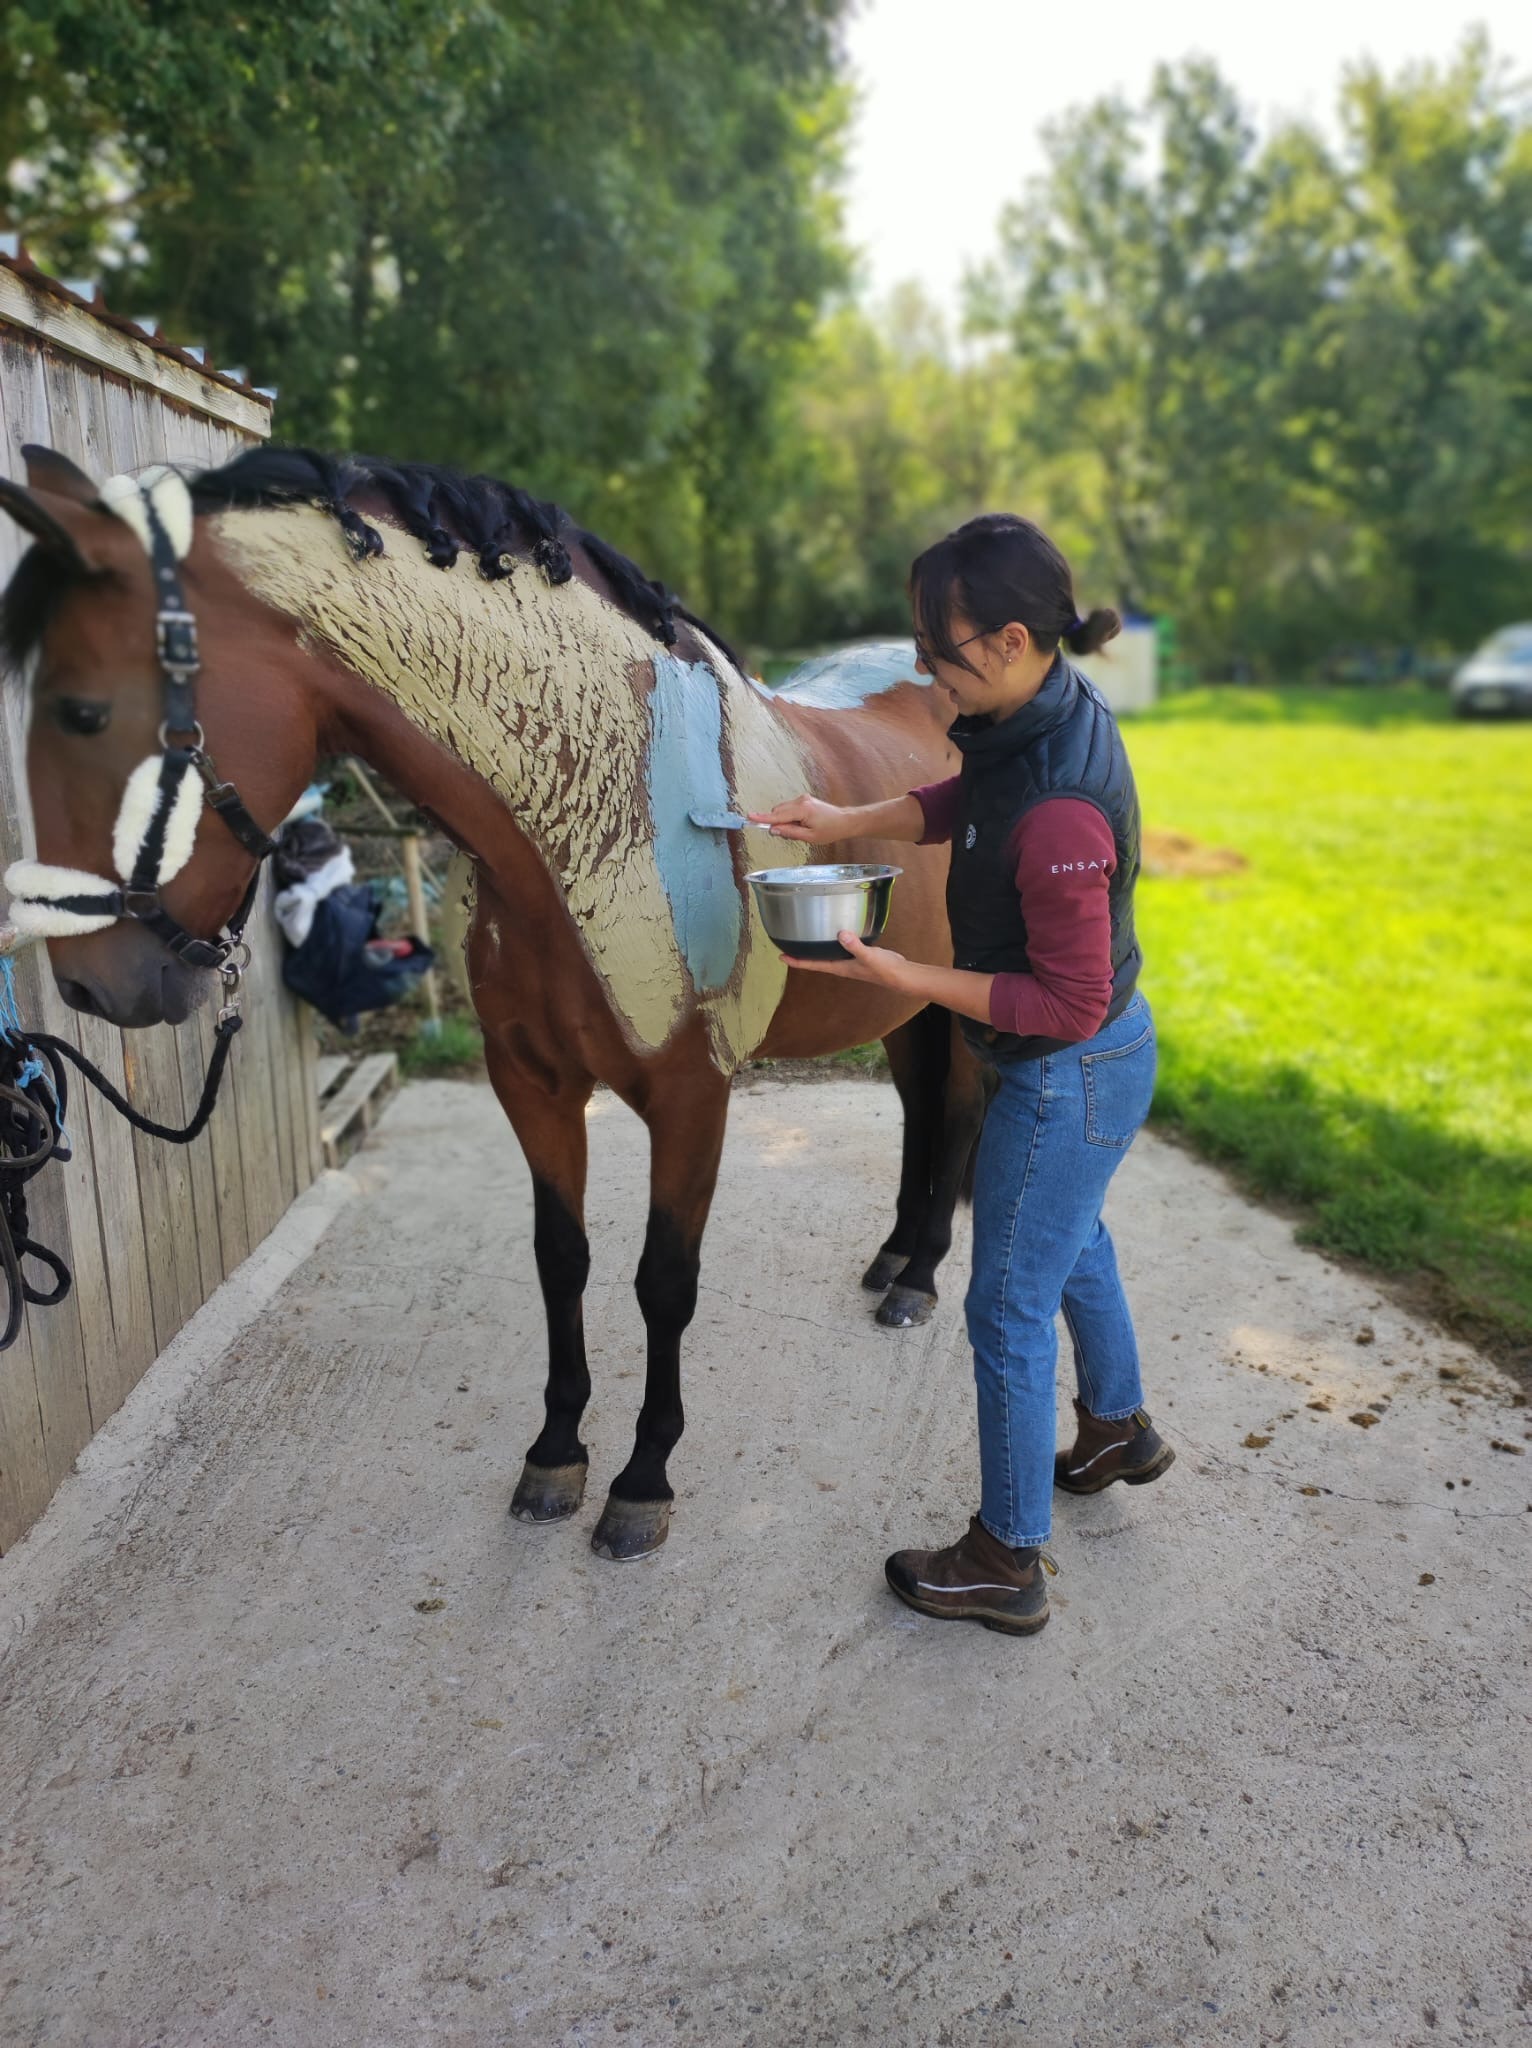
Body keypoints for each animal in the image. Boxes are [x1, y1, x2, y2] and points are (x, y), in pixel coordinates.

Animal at [0, 444, 989, 1559]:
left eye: (82, 710)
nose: (91, 982)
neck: (601, 819)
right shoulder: (533, 1083)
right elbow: (561, 1258)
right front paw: (556, 1454)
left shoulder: (692, 1095)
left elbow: (663, 1279)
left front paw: (642, 1478)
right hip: (899, 1001)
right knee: (919, 1111)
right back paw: (892, 1258)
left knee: (958, 1112)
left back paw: (916, 1282)